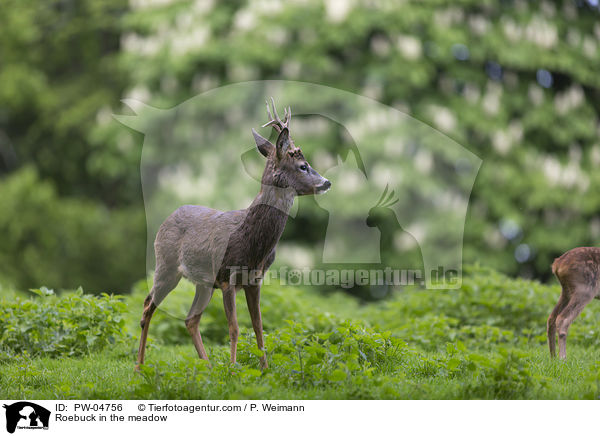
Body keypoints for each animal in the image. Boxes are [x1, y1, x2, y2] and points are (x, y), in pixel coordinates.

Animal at [135, 99, 332, 372]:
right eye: (303, 166)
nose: (327, 182)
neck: (252, 243)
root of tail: (165, 221)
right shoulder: (228, 277)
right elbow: (235, 327)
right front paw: (233, 368)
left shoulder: (254, 279)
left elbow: (259, 327)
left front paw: (264, 369)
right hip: (166, 265)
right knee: (147, 306)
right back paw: (139, 366)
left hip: (203, 282)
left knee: (191, 318)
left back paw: (207, 366)